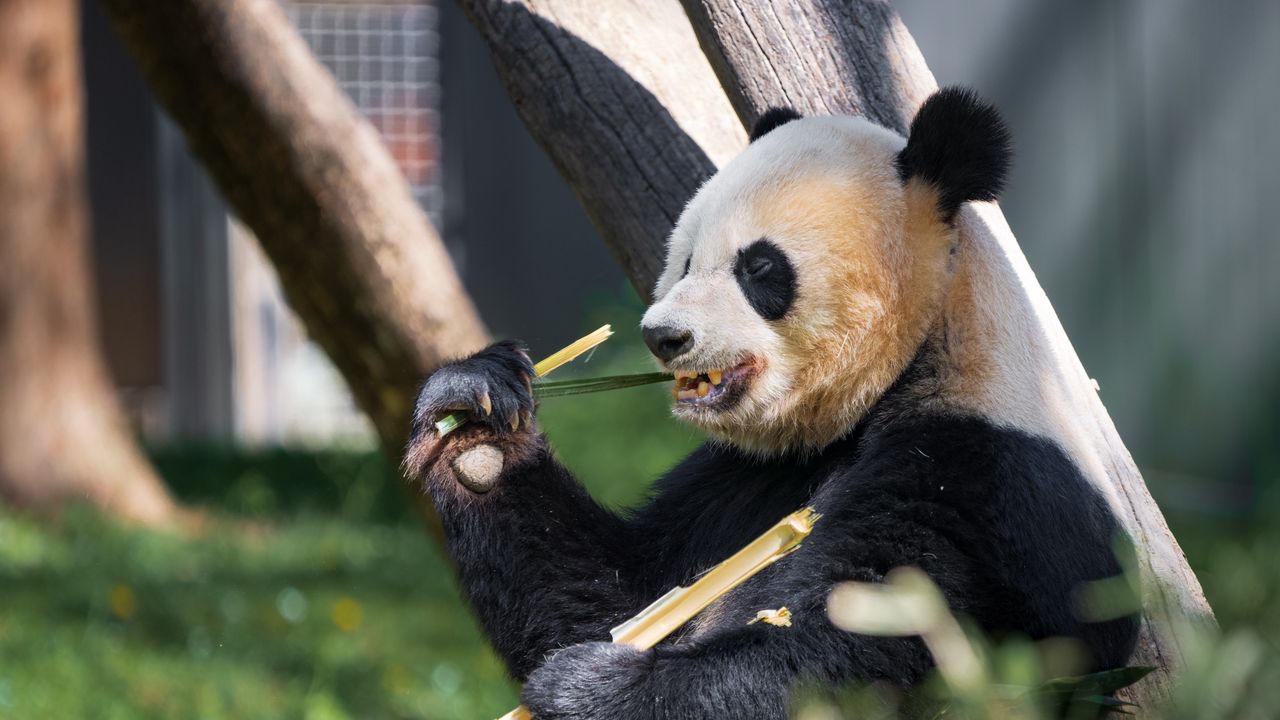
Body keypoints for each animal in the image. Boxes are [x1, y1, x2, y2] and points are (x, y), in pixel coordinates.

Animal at [404, 87, 1136, 712]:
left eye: (759, 268)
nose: (664, 335)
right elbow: (626, 597)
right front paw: (474, 418)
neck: (919, 353)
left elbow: (857, 645)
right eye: (686, 259)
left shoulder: (981, 476)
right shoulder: (749, 478)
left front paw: (596, 689)